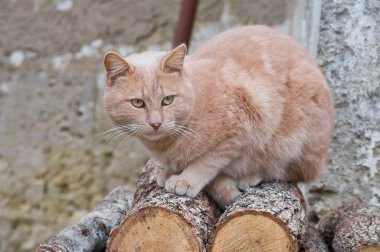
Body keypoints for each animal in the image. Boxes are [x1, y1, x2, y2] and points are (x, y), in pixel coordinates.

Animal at [103, 25, 332, 208]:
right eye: (138, 103)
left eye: (167, 100)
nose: (156, 123)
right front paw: (171, 172)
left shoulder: (241, 126)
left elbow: (208, 161)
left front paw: (186, 180)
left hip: (292, 144)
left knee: (285, 172)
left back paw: (251, 176)